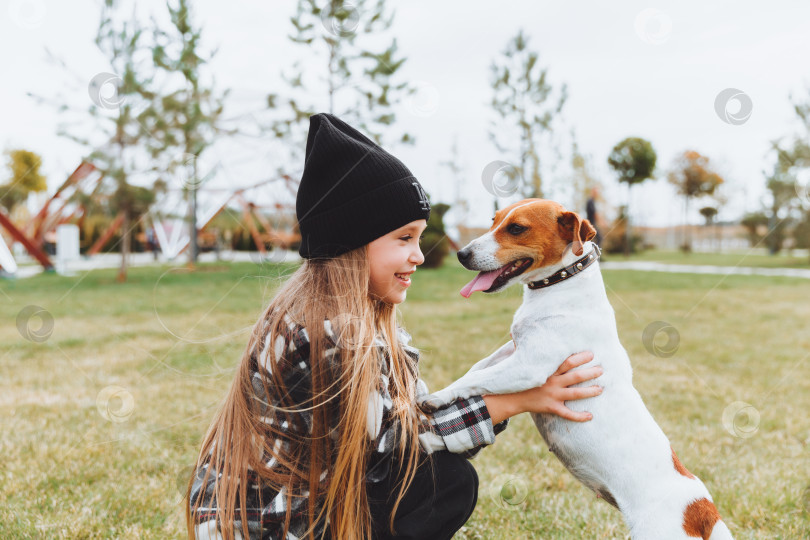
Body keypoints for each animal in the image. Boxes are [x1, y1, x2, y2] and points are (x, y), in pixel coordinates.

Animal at [416, 199, 732, 540]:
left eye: (516, 228)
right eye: (494, 220)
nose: (461, 254)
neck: (560, 285)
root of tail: (703, 511)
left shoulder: (529, 364)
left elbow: (478, 377)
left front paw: (437, 398)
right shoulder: (513, 349)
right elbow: (476, 369)